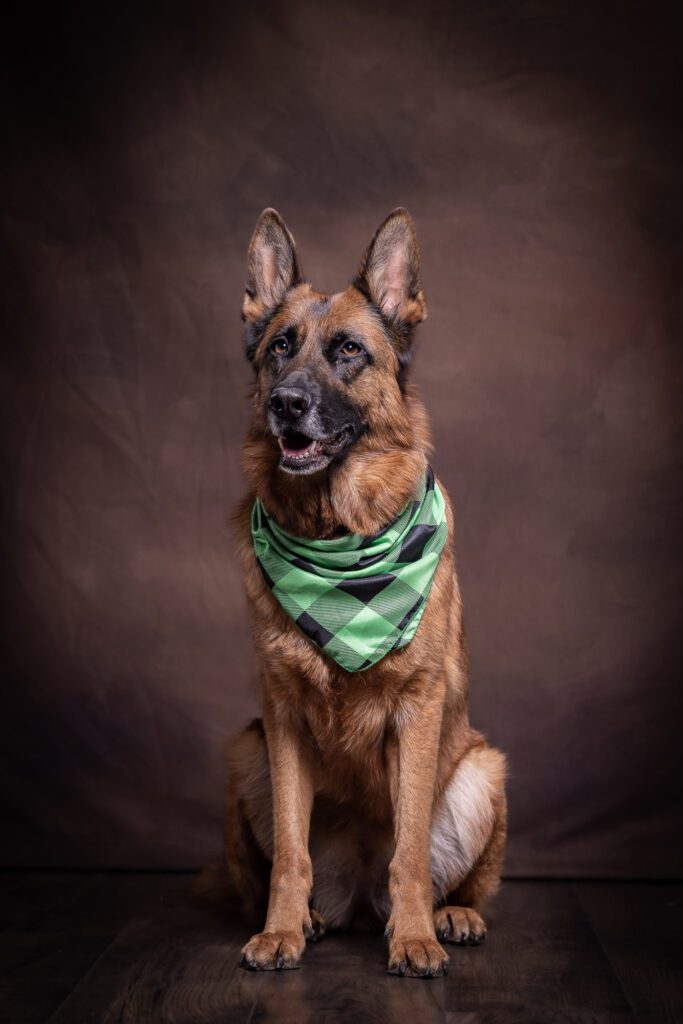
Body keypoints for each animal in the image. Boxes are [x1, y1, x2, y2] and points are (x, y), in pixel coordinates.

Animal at [225, 205, 507, 974]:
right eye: (280, 348)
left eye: (349, 350)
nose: (287, 403)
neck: (337, 535)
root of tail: (356, 896)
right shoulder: (281, 718)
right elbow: (290, 856)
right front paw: (280, 931)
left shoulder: (417, 711)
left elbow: (409, 853)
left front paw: (413, 938)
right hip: (246, 749)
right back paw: (312, 917)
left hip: (483, 771)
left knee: (451, 876)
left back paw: (448, 916)